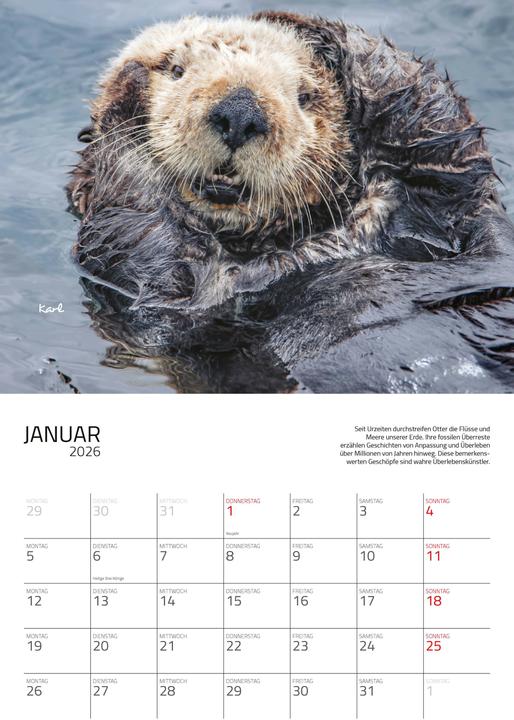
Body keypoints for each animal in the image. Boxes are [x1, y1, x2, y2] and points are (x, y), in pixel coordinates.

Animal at [68, 11, 514, 392]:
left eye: (305, 96)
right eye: (176, 70)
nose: (240, 111)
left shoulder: (440, 203)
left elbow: (437, 126)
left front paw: (308, 29)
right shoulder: (161, 294)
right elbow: (142, 230)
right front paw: (126, 94)